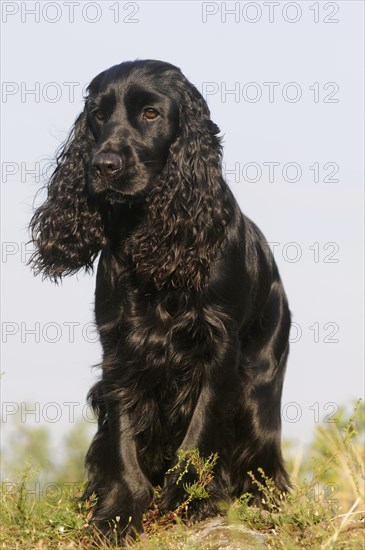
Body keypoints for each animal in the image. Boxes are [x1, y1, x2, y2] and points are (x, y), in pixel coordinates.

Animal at [29, 61, 290, 540]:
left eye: (150, 113)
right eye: (97, 115)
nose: (102, 165)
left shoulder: (218, 348)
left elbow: (198, 436)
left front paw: (191, 501)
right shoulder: (121, 349)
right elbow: (123, 446)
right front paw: (117, 512)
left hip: (259, 389)